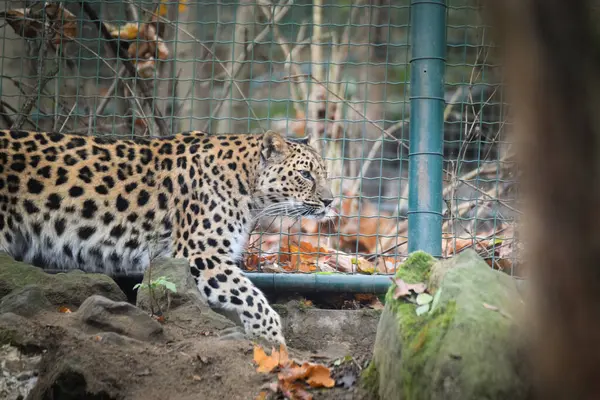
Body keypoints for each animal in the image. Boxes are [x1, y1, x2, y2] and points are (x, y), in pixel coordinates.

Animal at [0, 129, 332, 344]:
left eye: (325, 173)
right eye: (305, 175)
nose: (331, 201)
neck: (246, 185)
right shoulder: (201, 254)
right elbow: (250, 295)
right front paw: (272, 339)